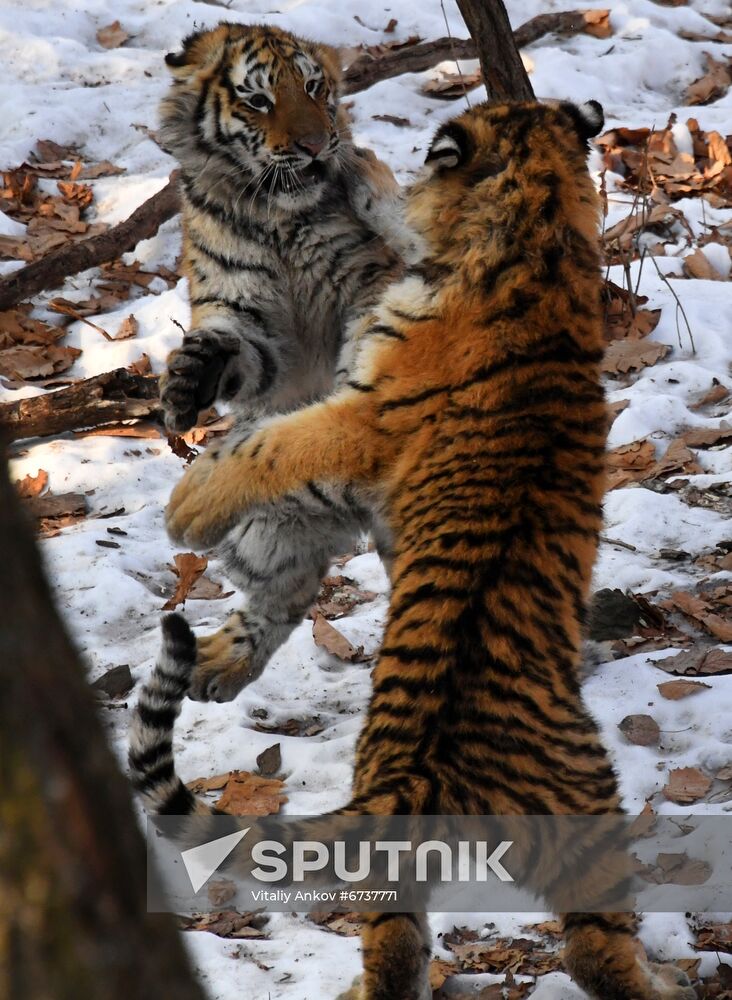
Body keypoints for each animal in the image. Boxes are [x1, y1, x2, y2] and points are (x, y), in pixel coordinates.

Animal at [133, 99, 696, 1000]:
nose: (347, 149)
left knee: (591, 954)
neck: (545, 236)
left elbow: (271, 446)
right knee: (415, 949)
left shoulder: (365, 413)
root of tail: (426, 779)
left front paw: (190, 508)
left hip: (585, 826)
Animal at [157, 17, 408, 704]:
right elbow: (237, 353)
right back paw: (216, 666)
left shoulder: (366, 278)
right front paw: (187, 384)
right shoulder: (251, 322)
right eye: (258, 100)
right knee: (287, 589)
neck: (277, 215)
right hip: (262, 533)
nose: (319, 147)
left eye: (316, 89)